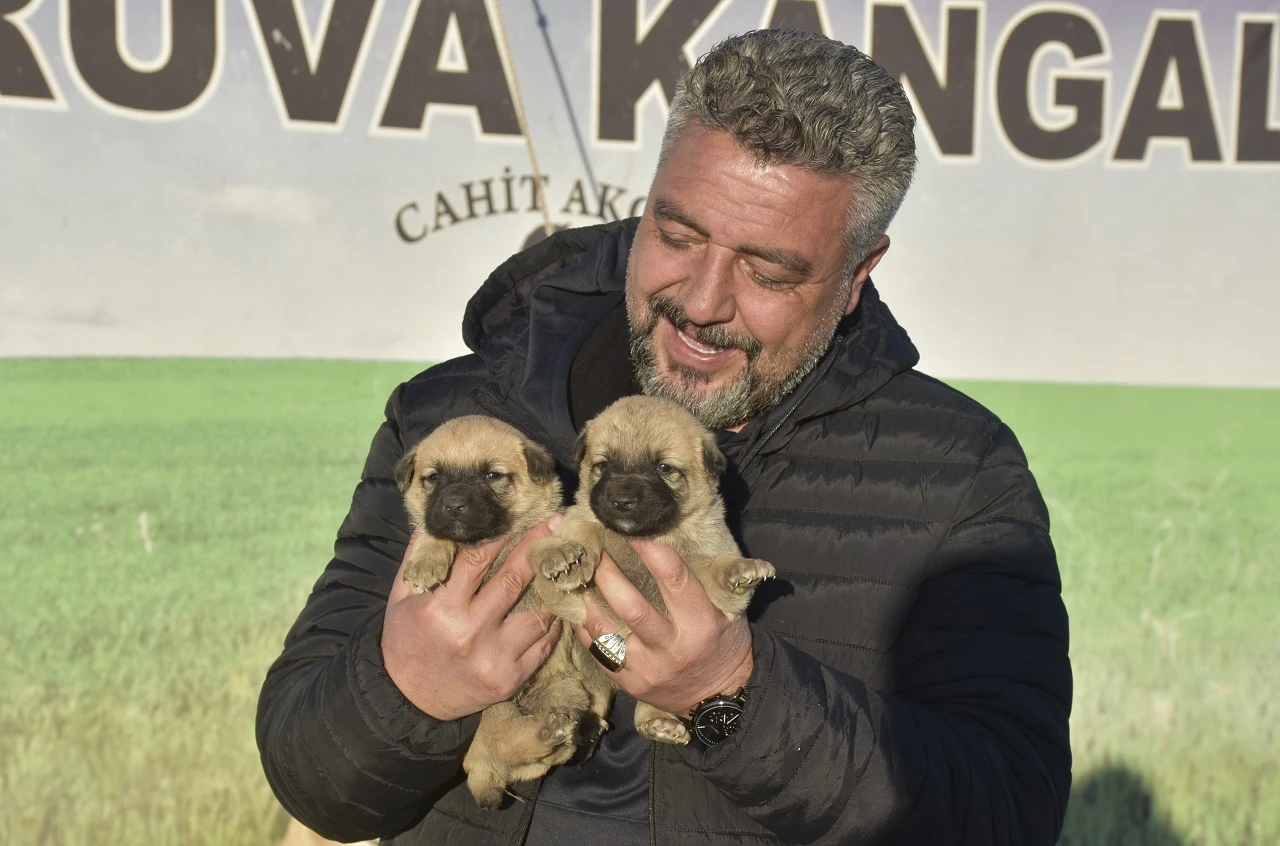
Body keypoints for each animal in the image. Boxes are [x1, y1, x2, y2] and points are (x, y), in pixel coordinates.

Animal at [396, 414, 596, 803]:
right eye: (434, 478)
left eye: (492, 475)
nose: (454, 504)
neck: (485, 542)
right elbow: (432, 533)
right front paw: (426, 561)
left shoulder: (536, 529)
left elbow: (537, 543)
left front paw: (554, 552)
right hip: (495, 706)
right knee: (512, 746)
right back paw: (554, 731)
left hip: (567, 689)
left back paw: (568, 729)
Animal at [527, 396, 773, 747]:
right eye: (604, 465)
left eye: (664, 468)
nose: (622, 500)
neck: (643, 539)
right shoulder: (571, 591)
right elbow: (584, 528)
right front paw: (566, 557)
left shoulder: (716, 585)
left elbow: (713, 567)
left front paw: (741, 571)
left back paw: (658, 722)